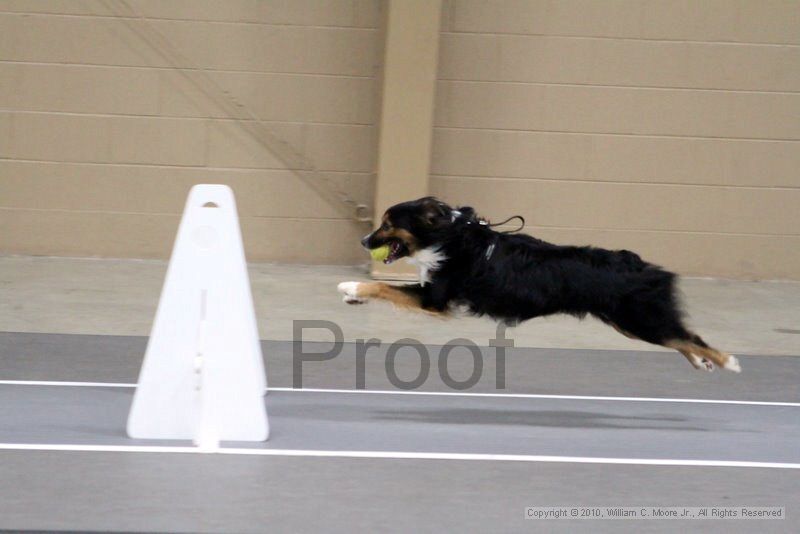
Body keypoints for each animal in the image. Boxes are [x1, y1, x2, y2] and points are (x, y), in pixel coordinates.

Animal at [336, 195, 736, 374]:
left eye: (388, 224)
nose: (363, 241)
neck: (450, 237)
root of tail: (643, 265)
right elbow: (389, 290)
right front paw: (355, 296)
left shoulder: (435, 299)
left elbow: (386, 288)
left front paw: (352, 288)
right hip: (630, 323)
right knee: (684, 336)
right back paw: (702, 362)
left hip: (638, 319)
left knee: (685, 336)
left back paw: (728, 361)